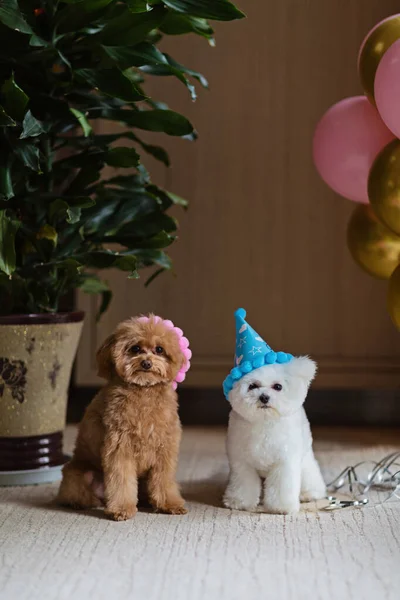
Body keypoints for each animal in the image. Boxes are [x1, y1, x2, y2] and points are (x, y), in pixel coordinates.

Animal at [222, 310, 324, 516]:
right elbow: (243, 484)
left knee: (310, 473)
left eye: (277, 387)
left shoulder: (284, 464)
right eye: (253, 386)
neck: (265, 422)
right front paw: (240, 502)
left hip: (305, 460)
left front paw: (280, 507)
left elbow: (282, 487)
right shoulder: (242, 463)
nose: (264, 397)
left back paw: (310, 493)